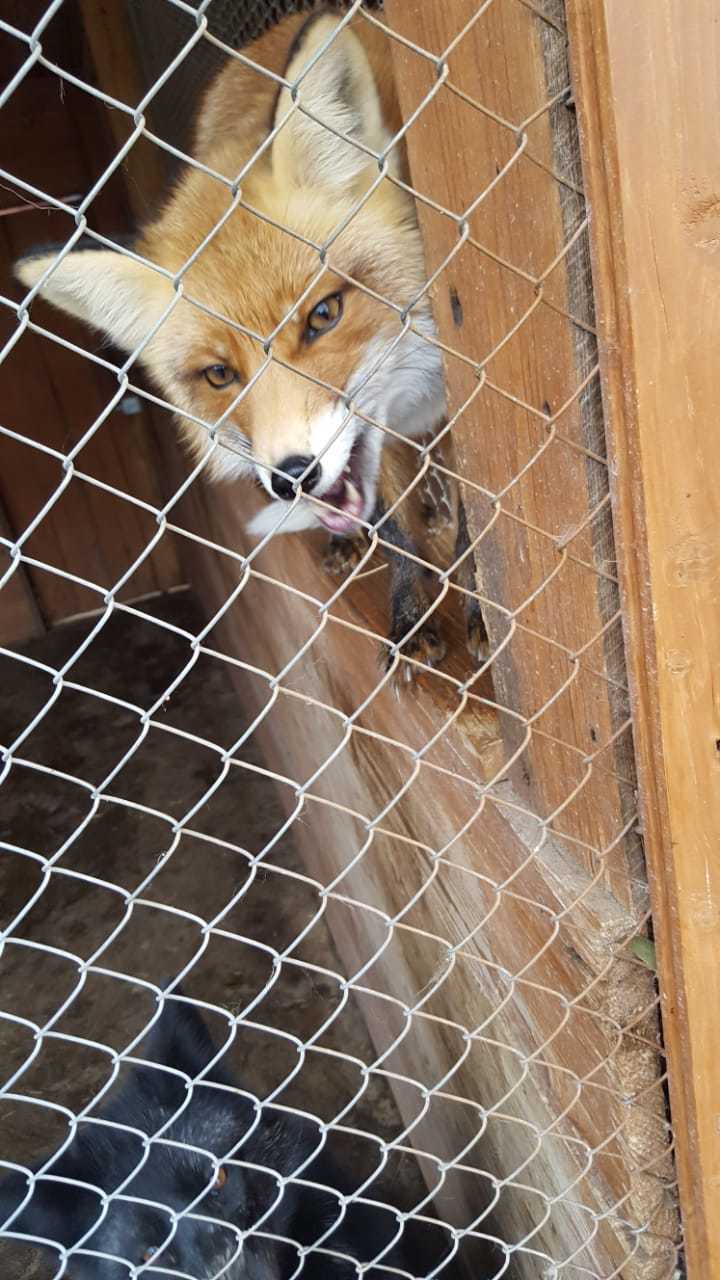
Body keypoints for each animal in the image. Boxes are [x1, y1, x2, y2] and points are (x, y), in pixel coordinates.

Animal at [16, 7, 484, 680]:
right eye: (219, 374)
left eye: (323, 314)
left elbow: (480, 520)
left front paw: (482, 612)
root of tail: (287, 24)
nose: (293, 478)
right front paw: (412, 614)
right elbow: (394, 527)